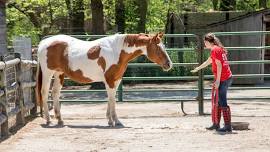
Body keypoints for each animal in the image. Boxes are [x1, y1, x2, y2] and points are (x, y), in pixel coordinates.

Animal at [35, 32, 172, 126]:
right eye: (158, 48)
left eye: (164, 46)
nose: (169, 64)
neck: (117, 51)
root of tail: (43, 43)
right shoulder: (109, 80)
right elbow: (112, 100)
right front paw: (115, 121)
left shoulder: (116, 80)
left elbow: (111, 99)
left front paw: (110, 120)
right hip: (48, 73)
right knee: (44, 92)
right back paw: (48, 120)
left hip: (59, 74)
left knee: (55, 93)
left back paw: (60, 120)